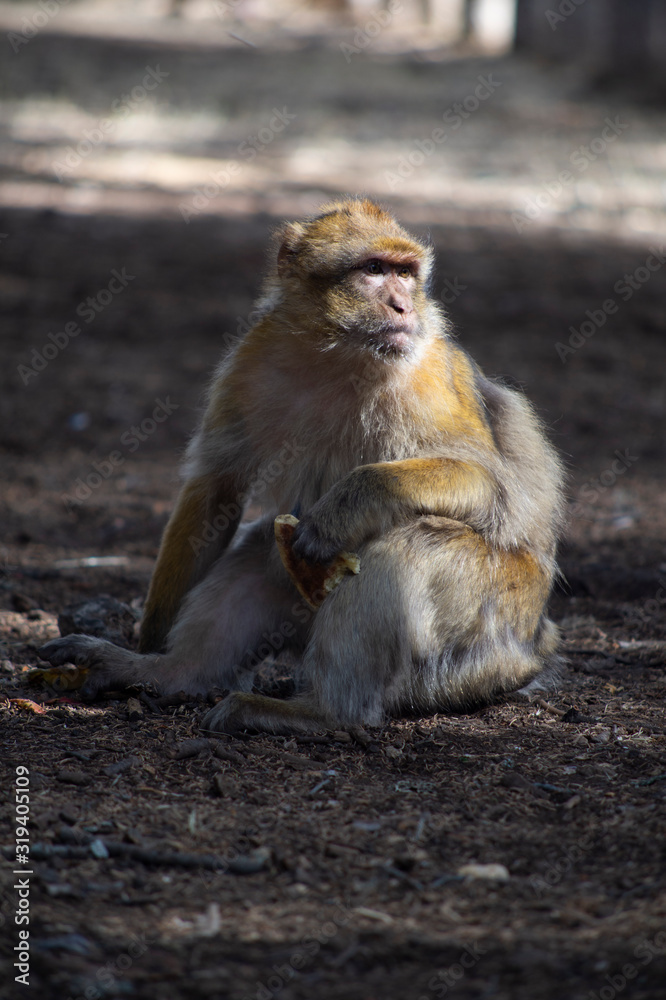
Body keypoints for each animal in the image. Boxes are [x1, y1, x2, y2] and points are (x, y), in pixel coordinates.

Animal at [40, 197, 565, 735]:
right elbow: (216, 489)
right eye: (374, 270)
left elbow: (490, 487)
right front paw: (147, 648)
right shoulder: (251, 358)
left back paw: (323, 712)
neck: (338, 353)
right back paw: (169, 673)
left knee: (411, 546)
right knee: (260, 555)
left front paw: (344, 508)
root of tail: (532, 646)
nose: (403, 306)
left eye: (406, 273)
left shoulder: (429, 375)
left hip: (492, 621)